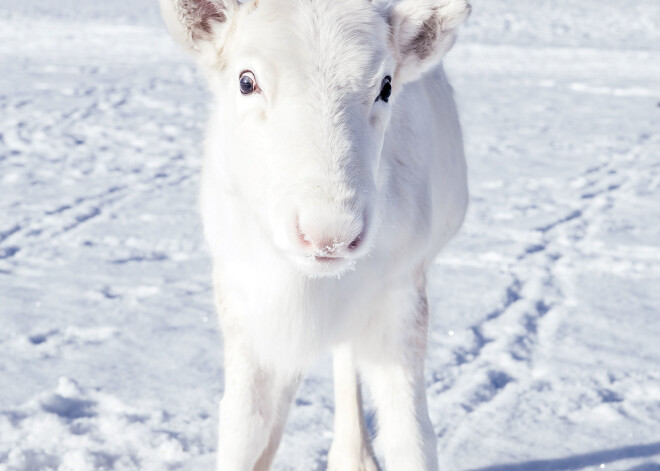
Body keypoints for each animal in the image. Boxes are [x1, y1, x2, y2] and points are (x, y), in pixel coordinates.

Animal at [159, 0, 470, 468]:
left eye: (386, 86)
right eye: (246, 81)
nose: (331, 233)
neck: (306, 286)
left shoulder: (400, 295)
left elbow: (411, 437)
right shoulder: (245, 303)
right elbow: (242, 428)